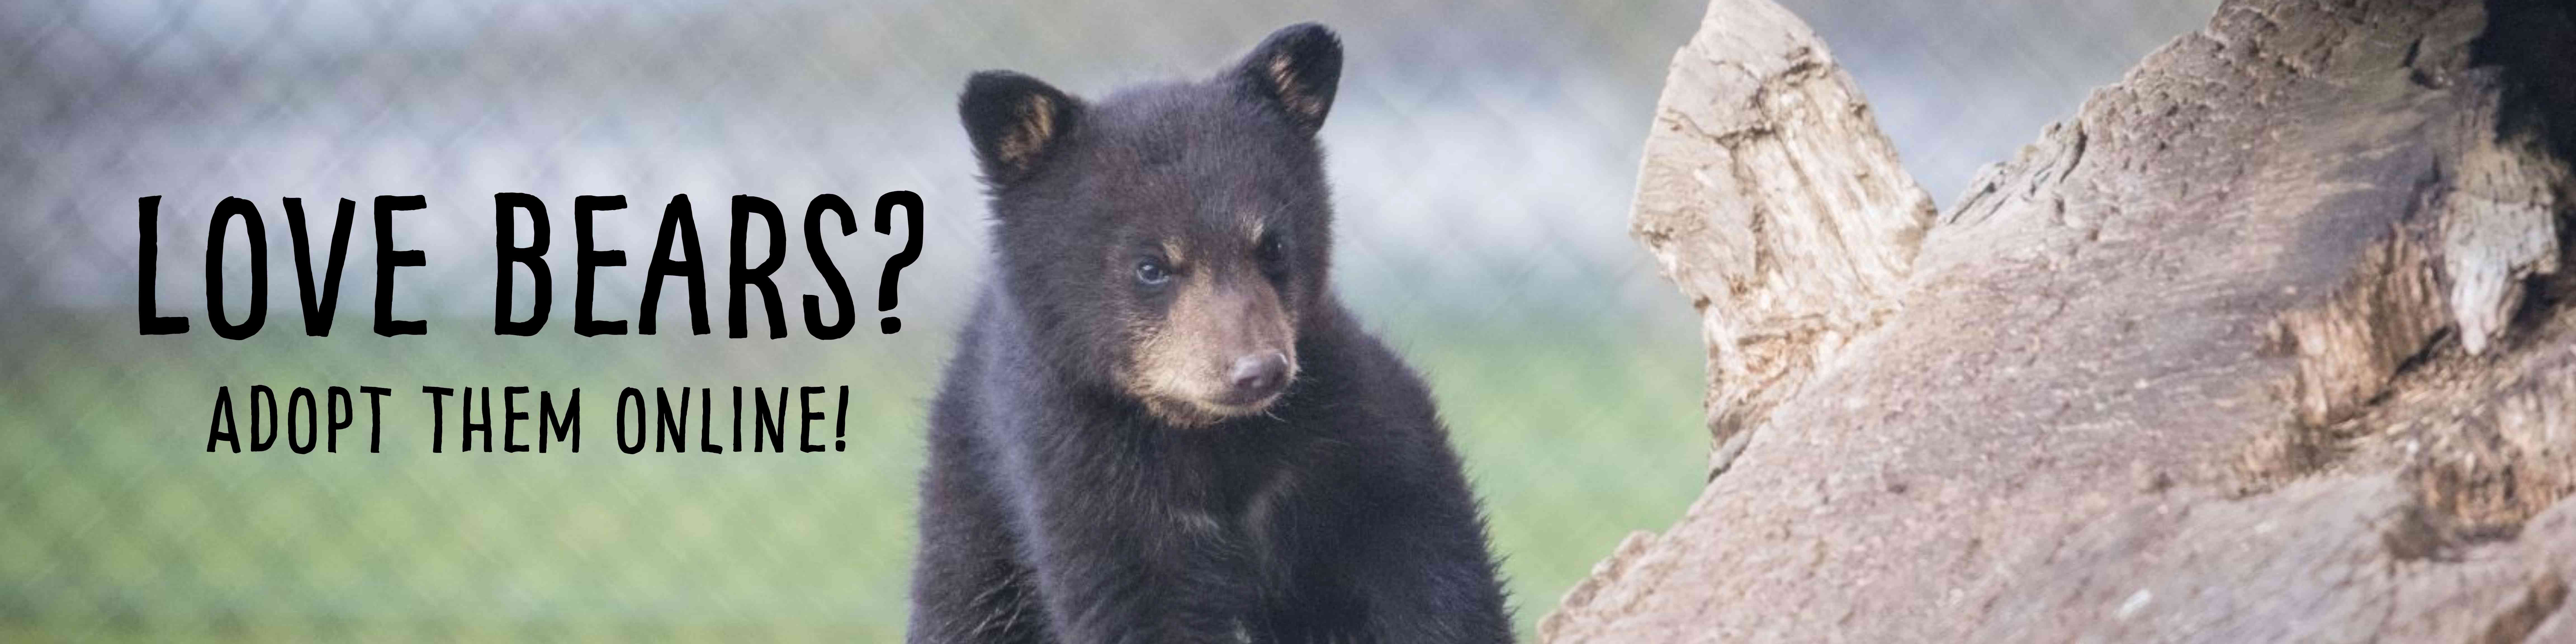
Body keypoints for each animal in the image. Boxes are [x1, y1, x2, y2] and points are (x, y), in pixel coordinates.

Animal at [906, 23, 1514, 644]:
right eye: (1151, 266)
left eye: (1273, 244)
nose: (1258, 371)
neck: (1217, 437)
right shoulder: (1085, 475)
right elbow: (1137, 603)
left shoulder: (1351, 424)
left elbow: (1426, 546)